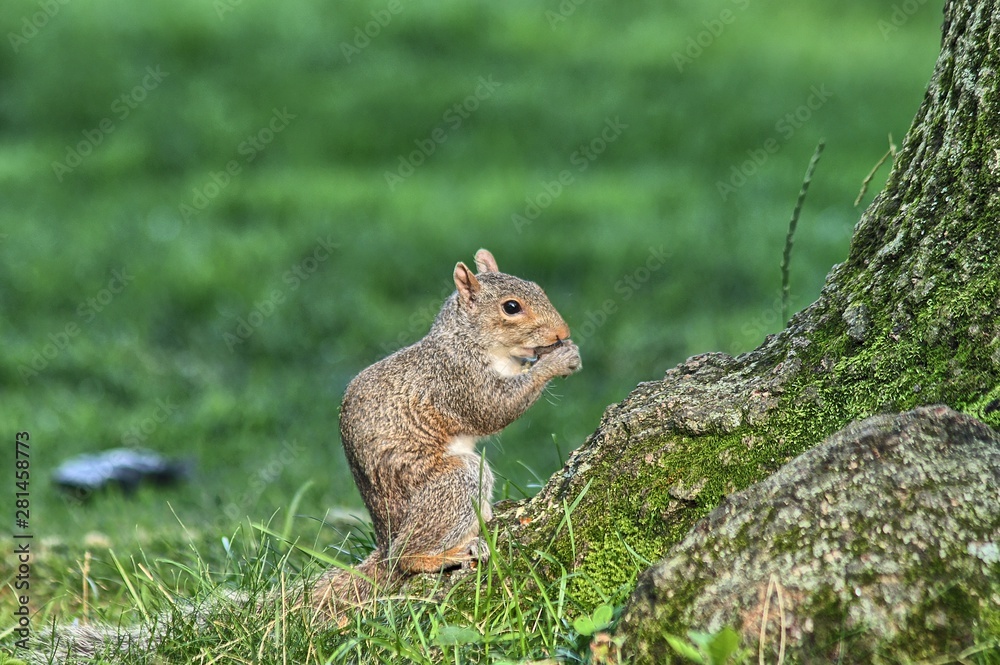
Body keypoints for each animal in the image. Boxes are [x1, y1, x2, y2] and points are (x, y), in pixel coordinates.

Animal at [308, 248, 581, 619]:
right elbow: (494, 410)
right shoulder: (457, 380)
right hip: (453, 482)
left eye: (537, 286)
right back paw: (443, 555)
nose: (562, 331)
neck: (469, 340)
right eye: (511, 307)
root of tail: (385, 539)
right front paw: (557, 361)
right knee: (407, 557)